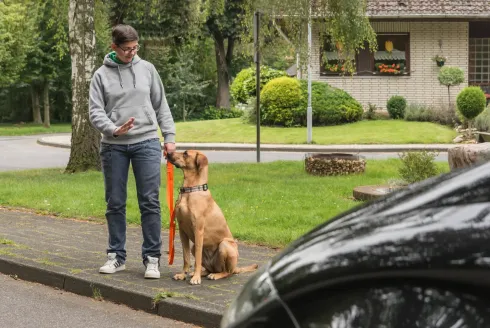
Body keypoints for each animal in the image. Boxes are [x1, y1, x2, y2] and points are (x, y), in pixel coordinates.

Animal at [167, 150, 258, 284]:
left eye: (185, 153)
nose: (168, 152)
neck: (191, 190)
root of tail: (236, 268)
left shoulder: (198, 230)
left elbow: (197, 260)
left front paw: (196, 278)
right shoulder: (182, 230)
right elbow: (186, 258)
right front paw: (183, 274)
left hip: (225, 245)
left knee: (227, 272)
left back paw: (215, 275)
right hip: (195, 248)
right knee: (209, 268)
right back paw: (202, 273)